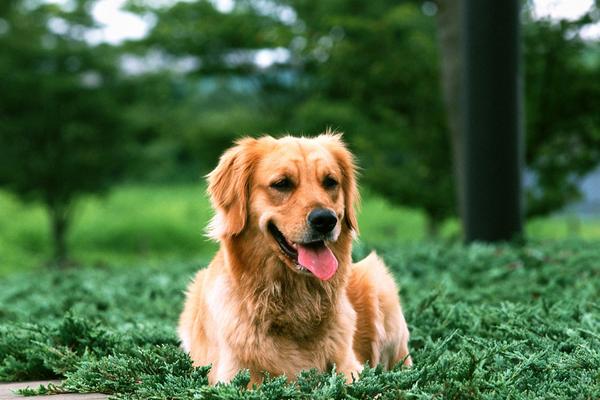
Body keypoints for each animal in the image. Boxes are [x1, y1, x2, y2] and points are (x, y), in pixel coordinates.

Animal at [178, 132, 412, 384]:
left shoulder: (350, 368)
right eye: (282, 183)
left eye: (330, 182)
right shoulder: (234, 376)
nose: (325, 220)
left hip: (378, 282)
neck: (295, 303)